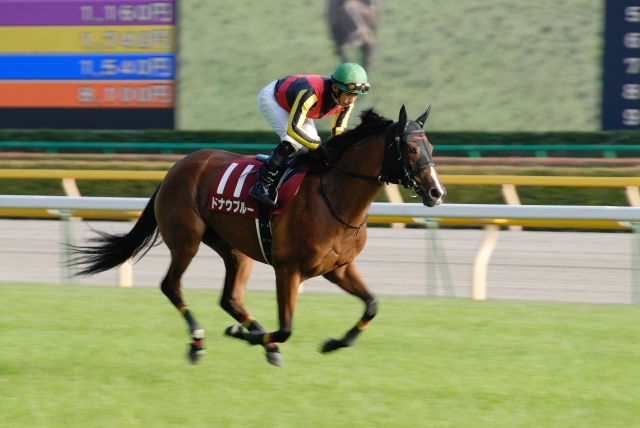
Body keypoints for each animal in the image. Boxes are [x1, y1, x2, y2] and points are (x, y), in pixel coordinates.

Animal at [70, 105, 446, 367]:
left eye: (430, 145)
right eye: (411, 150)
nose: (436, 192)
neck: (334, 196)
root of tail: (176, 168)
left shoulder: (338, 267)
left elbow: (371, 305)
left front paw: (332, 343)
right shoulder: (288, 269)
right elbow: (286, 328)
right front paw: (256, 338)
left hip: (236, 250)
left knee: (229, 299)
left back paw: (247, 330)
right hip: (186, 240)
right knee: (171, 286)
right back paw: (200, 340)